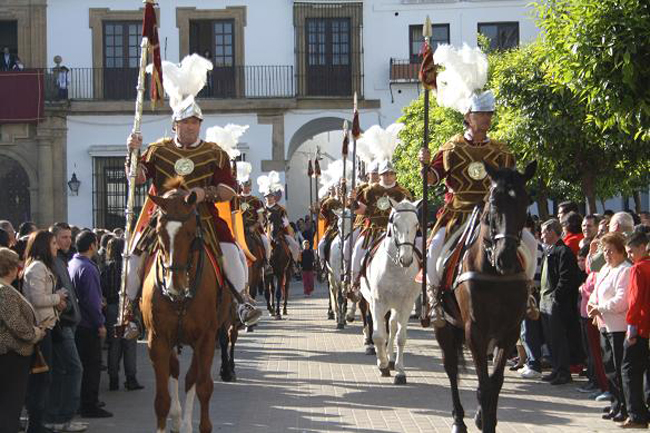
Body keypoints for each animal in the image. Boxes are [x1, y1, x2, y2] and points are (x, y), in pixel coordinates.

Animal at [140, 181, 232, 432]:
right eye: (158, 232)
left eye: (191, 233)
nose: (176, 285)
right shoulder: (157, 339)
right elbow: (161, 400)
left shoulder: (206, 338)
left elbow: (204, 387)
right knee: (177, 370)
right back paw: (177, 418)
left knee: (192, 376)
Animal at [360, 197, 420, 384]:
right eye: (395, 224)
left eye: (416, 224)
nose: (406, 259)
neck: (395, 269)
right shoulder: (378, 303)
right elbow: (378, 336)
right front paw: (383, 365)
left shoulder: (406, 305)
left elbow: (400, 337)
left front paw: (400, 371)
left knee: (392, 327)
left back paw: (392, 359)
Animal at [432, 160, 536, 430]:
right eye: (493, 202)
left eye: (525, 201)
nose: (505, 258)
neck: (494, 273)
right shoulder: (475, 330)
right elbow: (483, 386)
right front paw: (483, 419)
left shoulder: (509, 331)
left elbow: (494, 382)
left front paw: (486, 419)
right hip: (445, 327)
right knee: (451, 368)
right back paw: (458, 419)